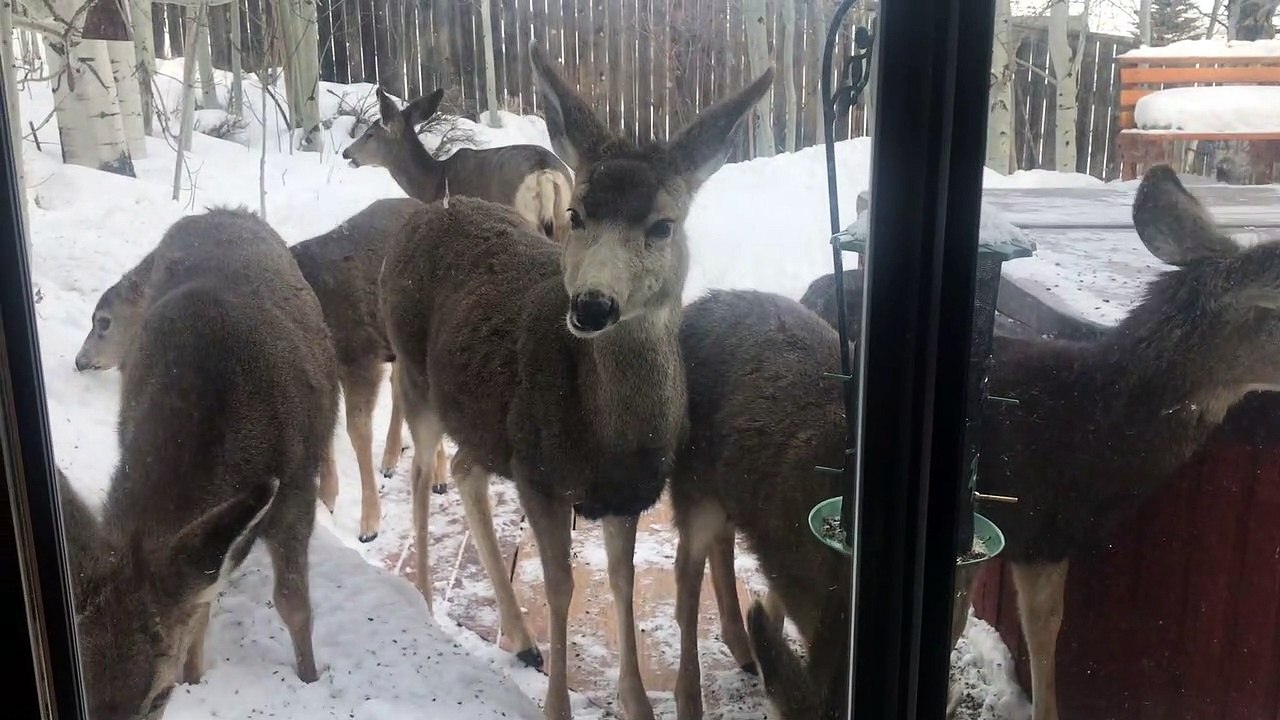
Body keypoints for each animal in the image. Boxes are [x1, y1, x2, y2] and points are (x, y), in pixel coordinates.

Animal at [58, 207, 339, 720]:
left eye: (157, 697)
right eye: (80, 682)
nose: (81, 361)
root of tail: (221, 211)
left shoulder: (295, 491)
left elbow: (293, 602)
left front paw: (309, 678)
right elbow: (200, 605)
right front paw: (195, 674)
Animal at [289, 197, 449, 541]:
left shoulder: (359, 358)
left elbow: (357, 430)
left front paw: (369, 523)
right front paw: (327, 498)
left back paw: (438, 476)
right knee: (400, 388)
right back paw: (391, 458)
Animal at [341, 87, 574, 243]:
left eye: (370, 134)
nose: (346, 153)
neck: (435, 180)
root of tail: (545, 172)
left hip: (523, 212)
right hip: (566, 219)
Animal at [377, 43, 773, 720]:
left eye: (662, 225)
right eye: (577, 214)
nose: (591, 306)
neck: (604, 434)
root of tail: (430, 214)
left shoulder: (625, 494)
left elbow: (621, 582)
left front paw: (636, 701)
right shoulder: (539, 474)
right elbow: (561, 588)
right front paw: (557, 704)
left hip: (485, 420)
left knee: (464, 470)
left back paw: (519, 636)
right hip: (416, 377)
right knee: (424, 472)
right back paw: (426, 603)